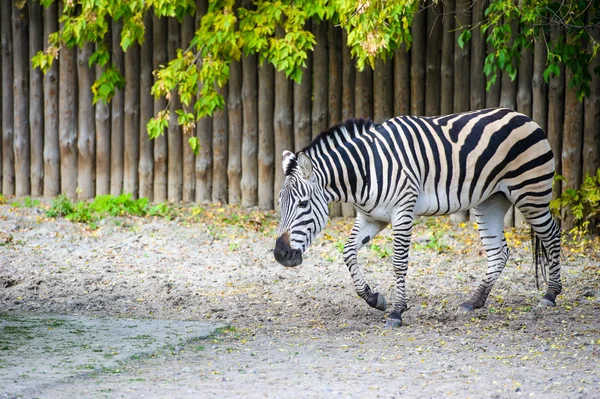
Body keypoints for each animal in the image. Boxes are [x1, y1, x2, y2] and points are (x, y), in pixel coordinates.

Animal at [274, 107, 564, 328]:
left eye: (303, 204)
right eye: (279, 204)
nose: (280, 255)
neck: (366, 170)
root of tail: (524, 116)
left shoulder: (403, 211)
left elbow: (399, 263)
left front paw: (397, 311)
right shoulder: (372, 218)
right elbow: (347, 252)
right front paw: (374, 299)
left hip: (530, 193)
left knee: (552, 234)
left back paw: (550, 295)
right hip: (490, 202)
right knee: (499, 252)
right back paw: (475, 301)